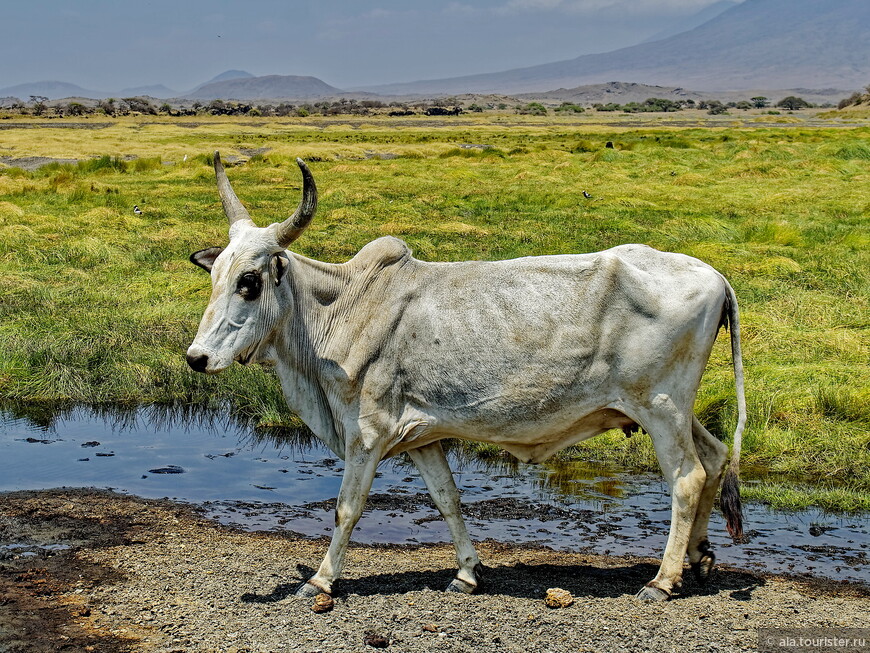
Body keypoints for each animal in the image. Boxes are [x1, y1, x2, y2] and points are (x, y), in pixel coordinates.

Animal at [191, 153, 748, 600]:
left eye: (249, 281)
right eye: (215, 274)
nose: (197, 358)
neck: (343, 308)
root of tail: (716, 277)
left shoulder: (367, 434)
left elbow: (347, 508)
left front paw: (322, 580)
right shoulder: (421, 435)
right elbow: (447, 499)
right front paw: (467, 573)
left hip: (660, 407)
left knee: (688, 478)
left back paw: (662, 580)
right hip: (676, 408)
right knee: (715, 456)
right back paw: (699, 558)